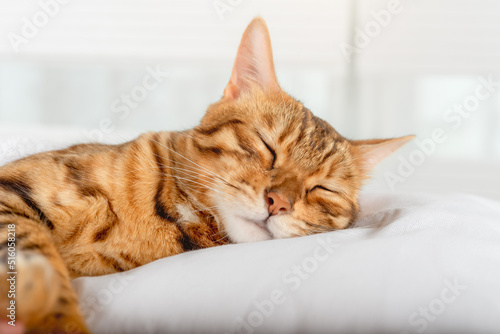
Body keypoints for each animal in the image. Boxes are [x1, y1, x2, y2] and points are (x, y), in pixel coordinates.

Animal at [0, 17, 414, 332]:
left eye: (322, 189)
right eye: (267, 146)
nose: (278, 203)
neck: (174, 213)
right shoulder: (14, 193)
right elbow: (38, 256)